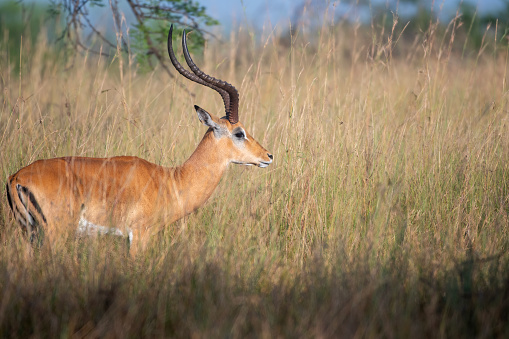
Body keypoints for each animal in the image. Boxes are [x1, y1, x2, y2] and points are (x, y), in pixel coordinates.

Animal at [4, 25, 274, 255]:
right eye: (239, 132)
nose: (268, 156)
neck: (171, 180)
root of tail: (17, 177)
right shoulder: (139, 236)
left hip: (29, 235)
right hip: (55, 235)